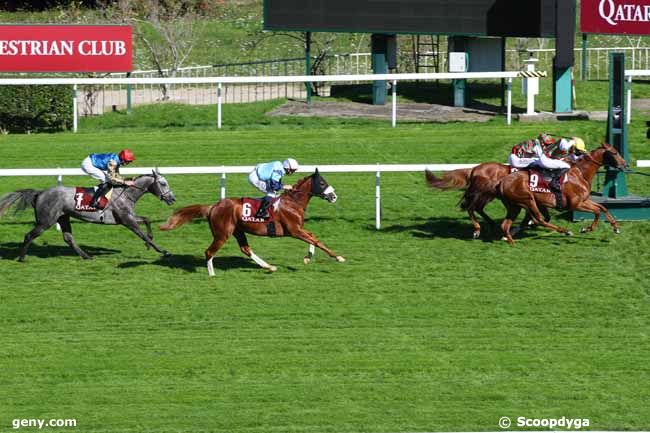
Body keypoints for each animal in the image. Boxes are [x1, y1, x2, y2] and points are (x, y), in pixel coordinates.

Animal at [0, 170, 175, 260]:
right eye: (163, 183)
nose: (173, 198)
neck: (126, 193)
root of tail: (40, 193)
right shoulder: (127, 220)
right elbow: (142, 233)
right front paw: (162, 250)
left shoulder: (128, 217)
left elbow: (147, 220)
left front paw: (150, 243)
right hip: (46, 221)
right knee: (29, 235)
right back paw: (22, 258)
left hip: (63, 217)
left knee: (68, 238)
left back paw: (86, 256)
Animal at [158, 170, 344, 276]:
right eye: (322, 183)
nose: (334, 196)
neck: (292, 203)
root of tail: (213, 206)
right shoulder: (294, 230)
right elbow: (317, 240)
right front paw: (338, 257)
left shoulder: (298, 229)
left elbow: (313, 237)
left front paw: (307, 258)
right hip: (222, 233)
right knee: (209, 252)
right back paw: (212, 274)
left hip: (238, 231)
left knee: (245, 249)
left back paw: (269, 267)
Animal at [496, 143, 628, 245]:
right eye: (615, 152)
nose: (626, 164)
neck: (581, 174)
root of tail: (502, 182)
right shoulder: (576, 204)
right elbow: (597, 211)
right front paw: (586, 229)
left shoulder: (584, 200)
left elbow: (603, 207)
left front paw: (616, 227)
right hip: (528, 200)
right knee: (539, 219)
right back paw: (565, 231)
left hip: (515, 206)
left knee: (505, 225)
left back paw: (511, 241)